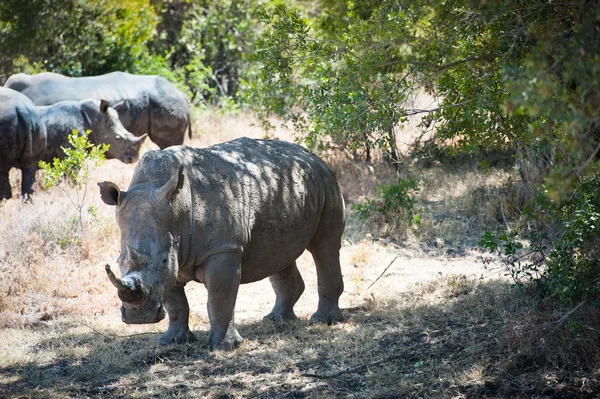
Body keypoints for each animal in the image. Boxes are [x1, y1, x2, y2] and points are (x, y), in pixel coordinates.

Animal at [100, 138, 344, 350]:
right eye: (119, 261)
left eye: (163, 260)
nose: (139, 317)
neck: (177, 207)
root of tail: (310, 154)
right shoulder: (174, 255)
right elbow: (175, 303)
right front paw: (172, 342)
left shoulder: (222, 249)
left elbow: (220, 298)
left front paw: (226, 347)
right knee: (280, 253)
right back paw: (276, 320)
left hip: (326, 181)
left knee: (325, 247)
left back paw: (324, 321)